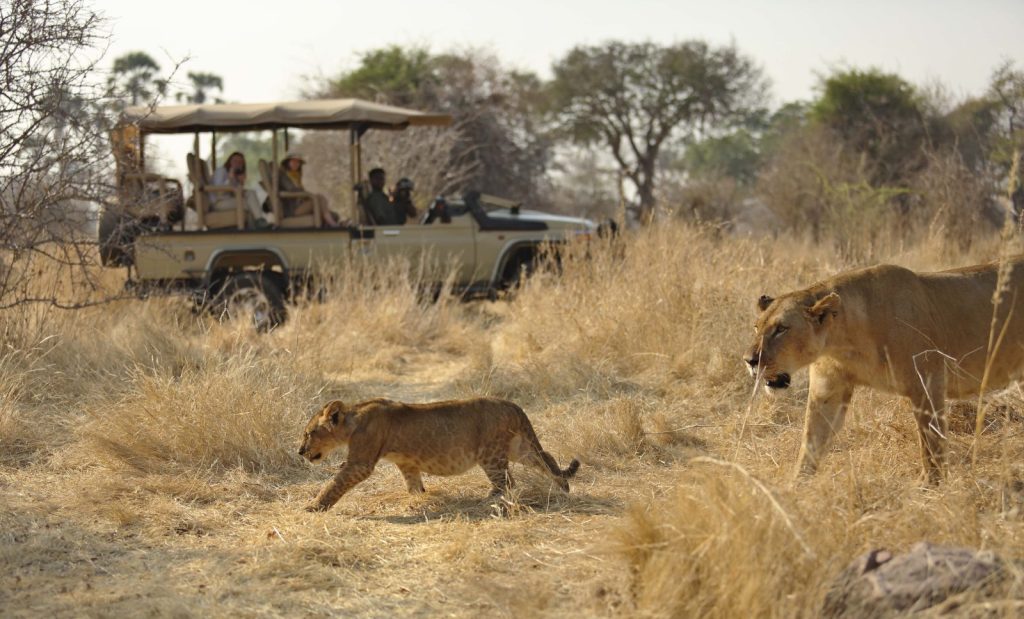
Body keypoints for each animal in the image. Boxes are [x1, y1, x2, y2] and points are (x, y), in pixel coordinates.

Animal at [298, 397, 581, 512]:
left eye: (308, 433)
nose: (300, 452)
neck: (352, 420)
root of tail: (513, 405)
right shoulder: (407, 463)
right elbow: (413, 485)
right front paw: (418, 500)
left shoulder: (360, 463)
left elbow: (334, 484)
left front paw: (313, 506)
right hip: (518, 449)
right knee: (547, 459)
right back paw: (563, 487)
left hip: (491, 454)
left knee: (507, 482)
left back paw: (487, 500)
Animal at [743, 256, 1024, 483]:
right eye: (757, 327)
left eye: (782, 329)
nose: (749, 360)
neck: (842, 341)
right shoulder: (828, 390)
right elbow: (811, 442)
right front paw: (793, 490)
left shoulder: (928, 383)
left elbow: (930, 443)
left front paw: (930, 487)